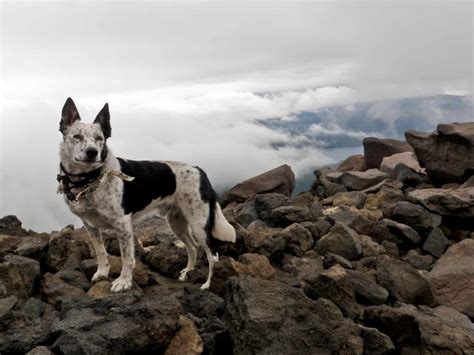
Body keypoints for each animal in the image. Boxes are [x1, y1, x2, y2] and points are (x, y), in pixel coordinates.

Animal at [58, 97, 236, 292]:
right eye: (76, 136)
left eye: (99, 138)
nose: (92, 152)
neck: (91, 180)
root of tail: (200, 170)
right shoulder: (90, 225)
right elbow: (100, 251)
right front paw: (102, 273)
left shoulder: (123, 226)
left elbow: (127, 258)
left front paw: (124, 282)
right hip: (176, 222)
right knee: (193, 247)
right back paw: (186, 273)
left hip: (199, 223)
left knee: (213, 254)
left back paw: (207, 284)